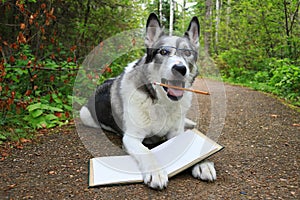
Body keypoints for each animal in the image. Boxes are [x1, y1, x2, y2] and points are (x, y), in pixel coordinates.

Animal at [79, 12, 216, 189]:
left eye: (187, 53)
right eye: (163, 52)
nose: (180, 69)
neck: (161, 102)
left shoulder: (176, 133)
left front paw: (202, 163)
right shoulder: (131, 138)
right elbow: (146, 152)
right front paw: (155, 171)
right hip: (85, 115)